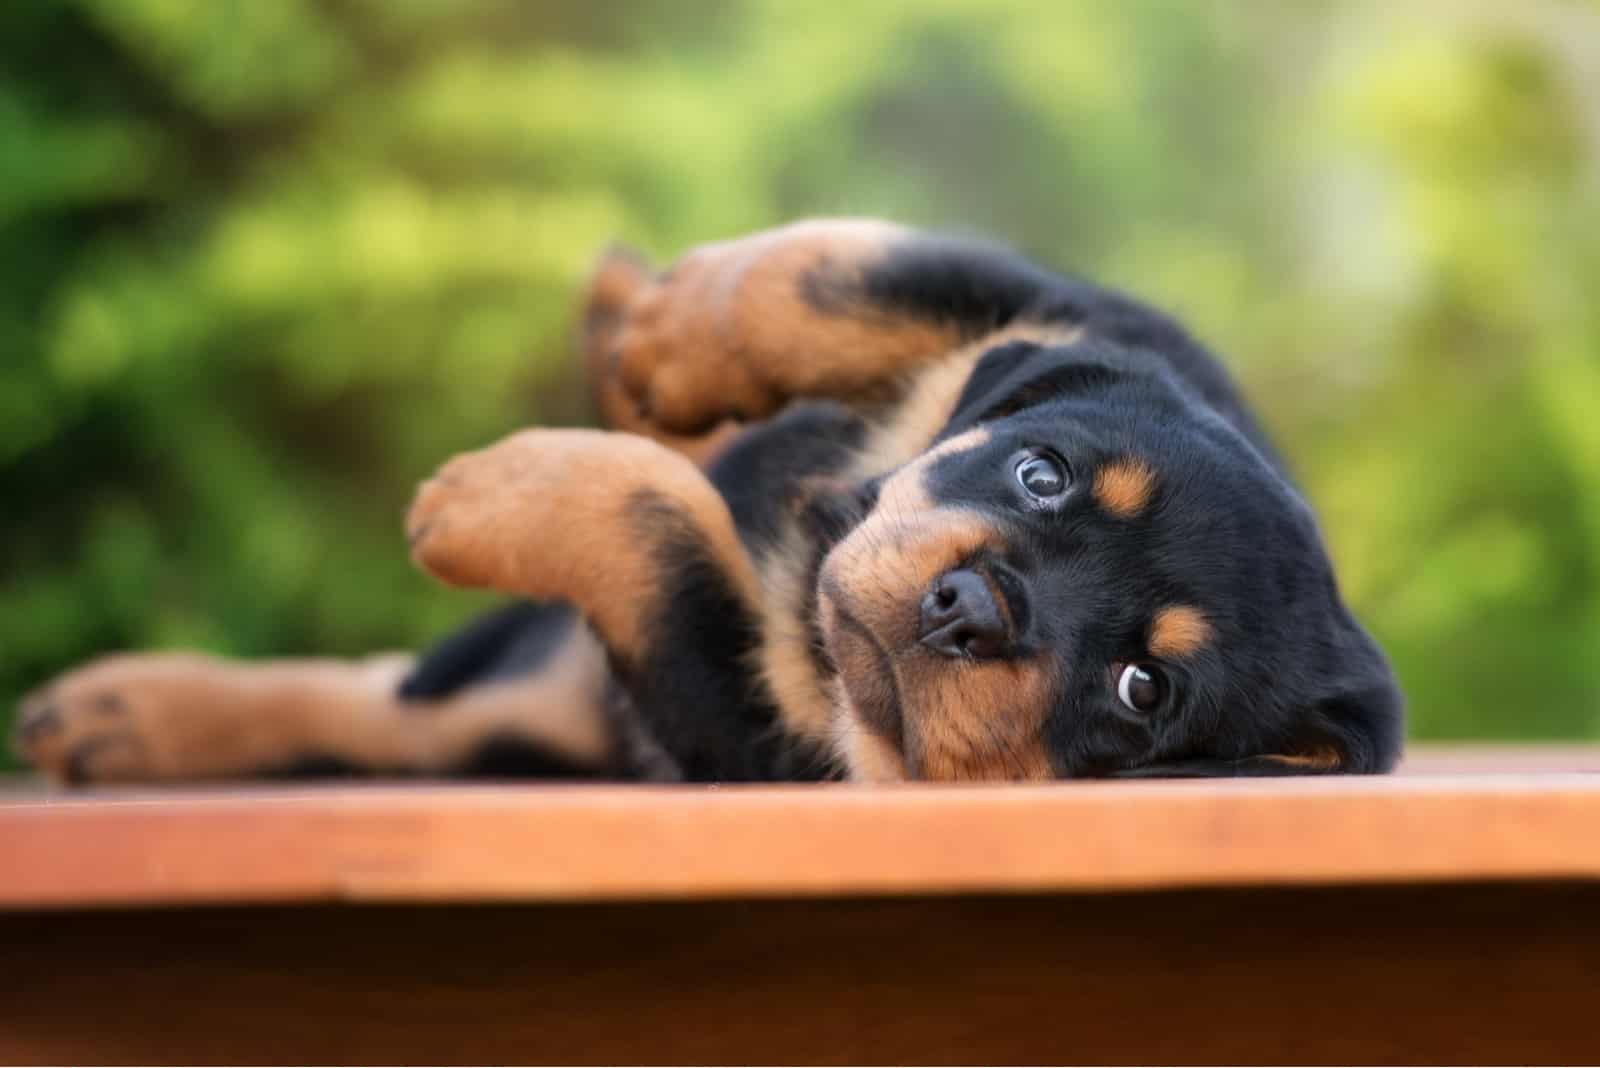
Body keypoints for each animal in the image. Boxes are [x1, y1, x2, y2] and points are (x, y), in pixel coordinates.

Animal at [18, 219, 1408, 783]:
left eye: (1142, 690)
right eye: (1039, 473)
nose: (971, 608)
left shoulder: (731, 724)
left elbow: (664, 527)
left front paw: (492, 493)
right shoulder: (1078, 316)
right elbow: (852, 269)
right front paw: (674, 330)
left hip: (528, 715)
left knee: (387, 714)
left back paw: (118, 721)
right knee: (375, 694)